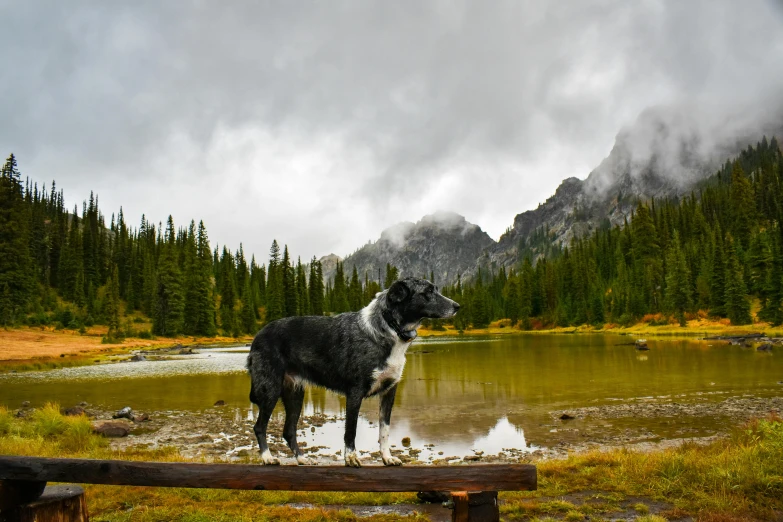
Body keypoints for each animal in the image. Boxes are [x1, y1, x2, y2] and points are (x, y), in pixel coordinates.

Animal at [247, 278, 460, 466]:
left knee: (289, 430)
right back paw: (267, 457)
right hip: (270, 389)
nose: (457, 306)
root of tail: (258, 336)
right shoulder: (354, 392)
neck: (389, 328)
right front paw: (351, 459)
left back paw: (301, 459)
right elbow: (351, 430)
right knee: (259, 426)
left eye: (435, 289)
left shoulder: (389, 392)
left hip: (295, 394)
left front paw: (387, 458)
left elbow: (384, 430)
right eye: (428, 292)